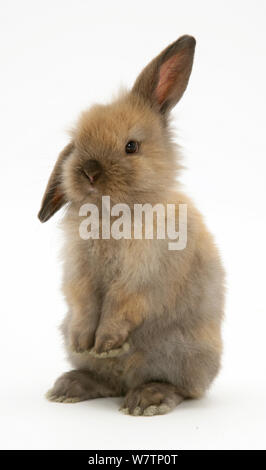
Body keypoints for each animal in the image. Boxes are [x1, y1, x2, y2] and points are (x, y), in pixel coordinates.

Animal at [38, 37, 224, 418]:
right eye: (77, 143)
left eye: (131, 146)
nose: (89, 171)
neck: (110, 216)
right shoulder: (77, 274)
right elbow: (83, 302)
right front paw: (86, 342)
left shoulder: (142, 277)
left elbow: (120, 306)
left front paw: (107, 344)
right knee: (107, 381)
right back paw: (69, 387)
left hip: (182, 352)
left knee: (184, 389)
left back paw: (146, 400)